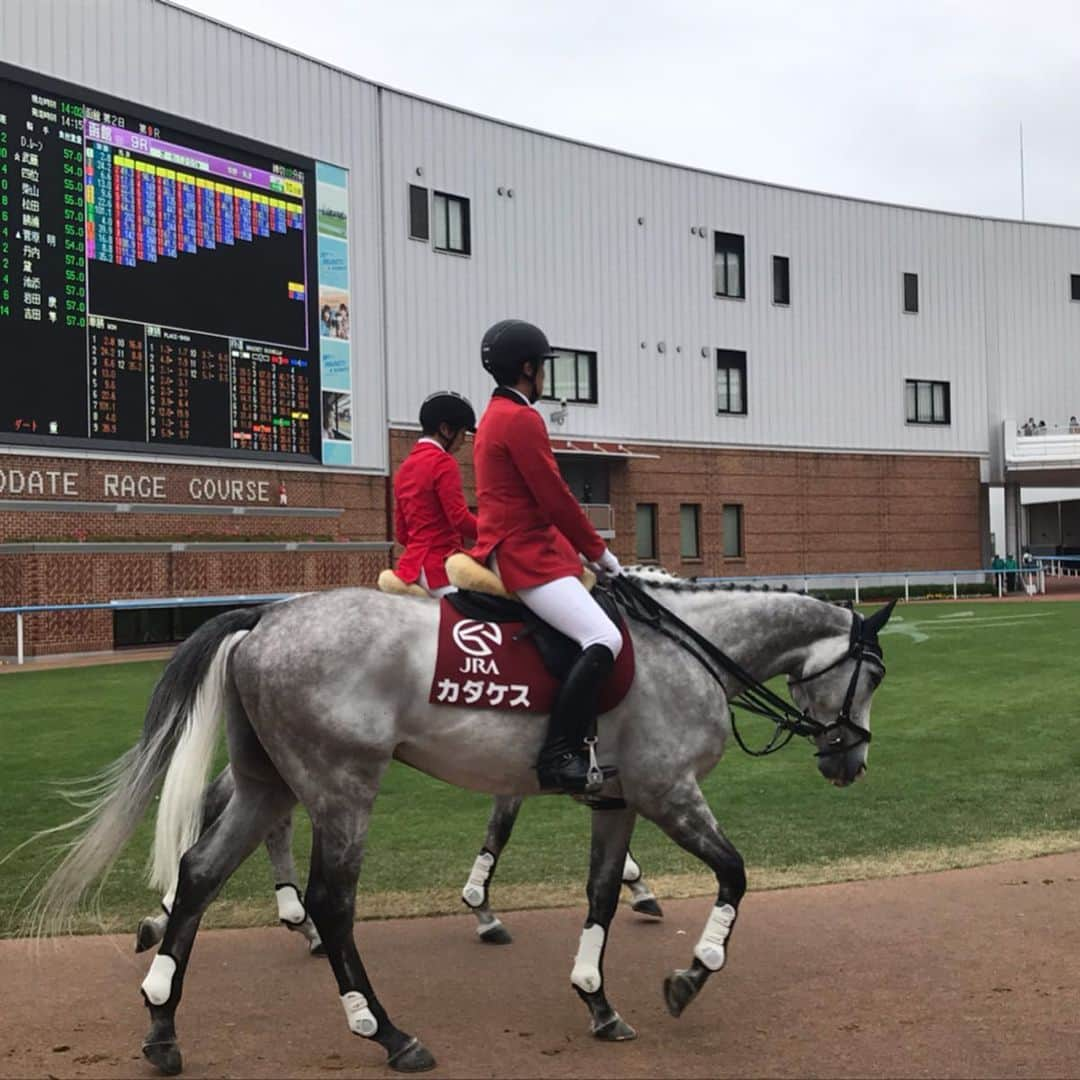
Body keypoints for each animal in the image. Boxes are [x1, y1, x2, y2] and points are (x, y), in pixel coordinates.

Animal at [35, 574, 894, 1071]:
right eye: (876, 674)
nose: (852, 759)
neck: (689, 649)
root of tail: (264, 619)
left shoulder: (617, 804)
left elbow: (600, 898)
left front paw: (596, 998)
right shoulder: (669, 793)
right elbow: (734, 876)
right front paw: (690, 974)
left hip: (268, 784)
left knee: (202, 873)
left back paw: (162, 1021)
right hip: (340, 788)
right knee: (331, 905)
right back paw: (382, 1029)